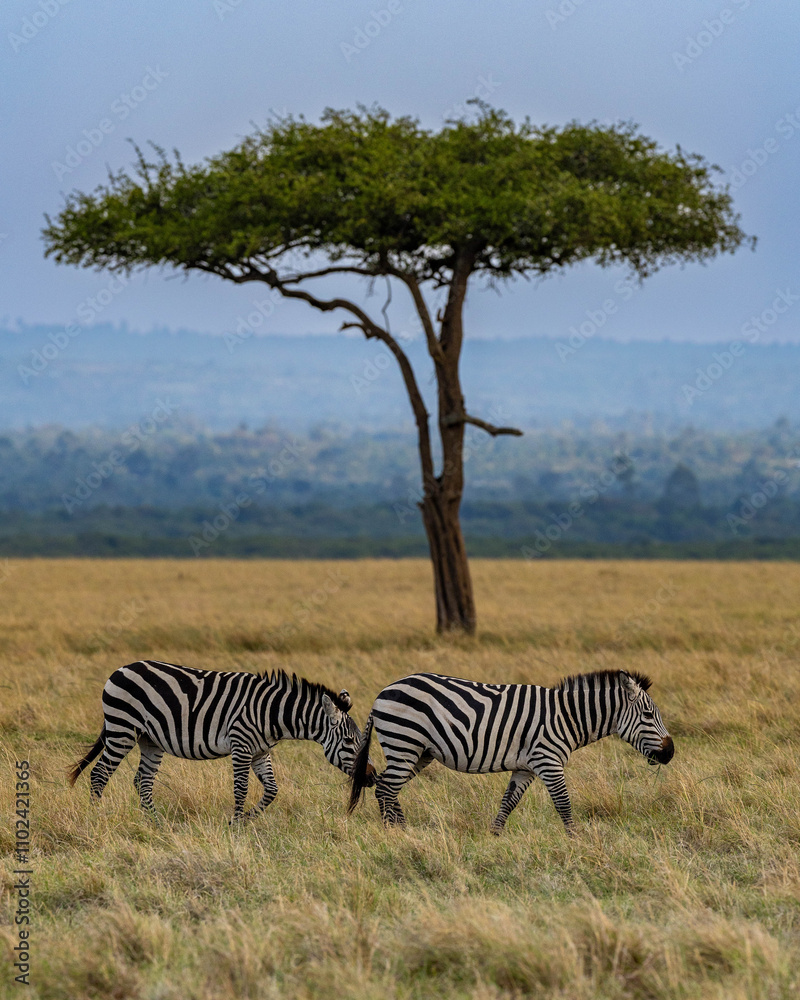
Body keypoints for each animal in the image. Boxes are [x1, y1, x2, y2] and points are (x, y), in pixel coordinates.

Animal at [70, 660, 375, 820]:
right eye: (350, 743)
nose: (370, 777)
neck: (272, 713)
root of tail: (121, 669)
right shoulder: (241, 745)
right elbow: (241, 788)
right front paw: (236, 824)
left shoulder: (260, 752)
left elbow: (272, 790)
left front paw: (249, 818)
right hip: (123, 728)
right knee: (100, 773)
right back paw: (95, 818)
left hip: (150, 740)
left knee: (142, 781)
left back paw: (155, 822)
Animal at [349, 669, 673, 833]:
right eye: (648, 715)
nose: (670, 753)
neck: (567, 716)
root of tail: (382, 692)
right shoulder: (548, 761)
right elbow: (564, 804)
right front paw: (576, 840)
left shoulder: (526, 766)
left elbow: (508, 802)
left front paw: (494, 836)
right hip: (404, 742)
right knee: (387, 788)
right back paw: (396, 833)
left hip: (418, 752)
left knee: (385, 786)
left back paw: (400, 830)